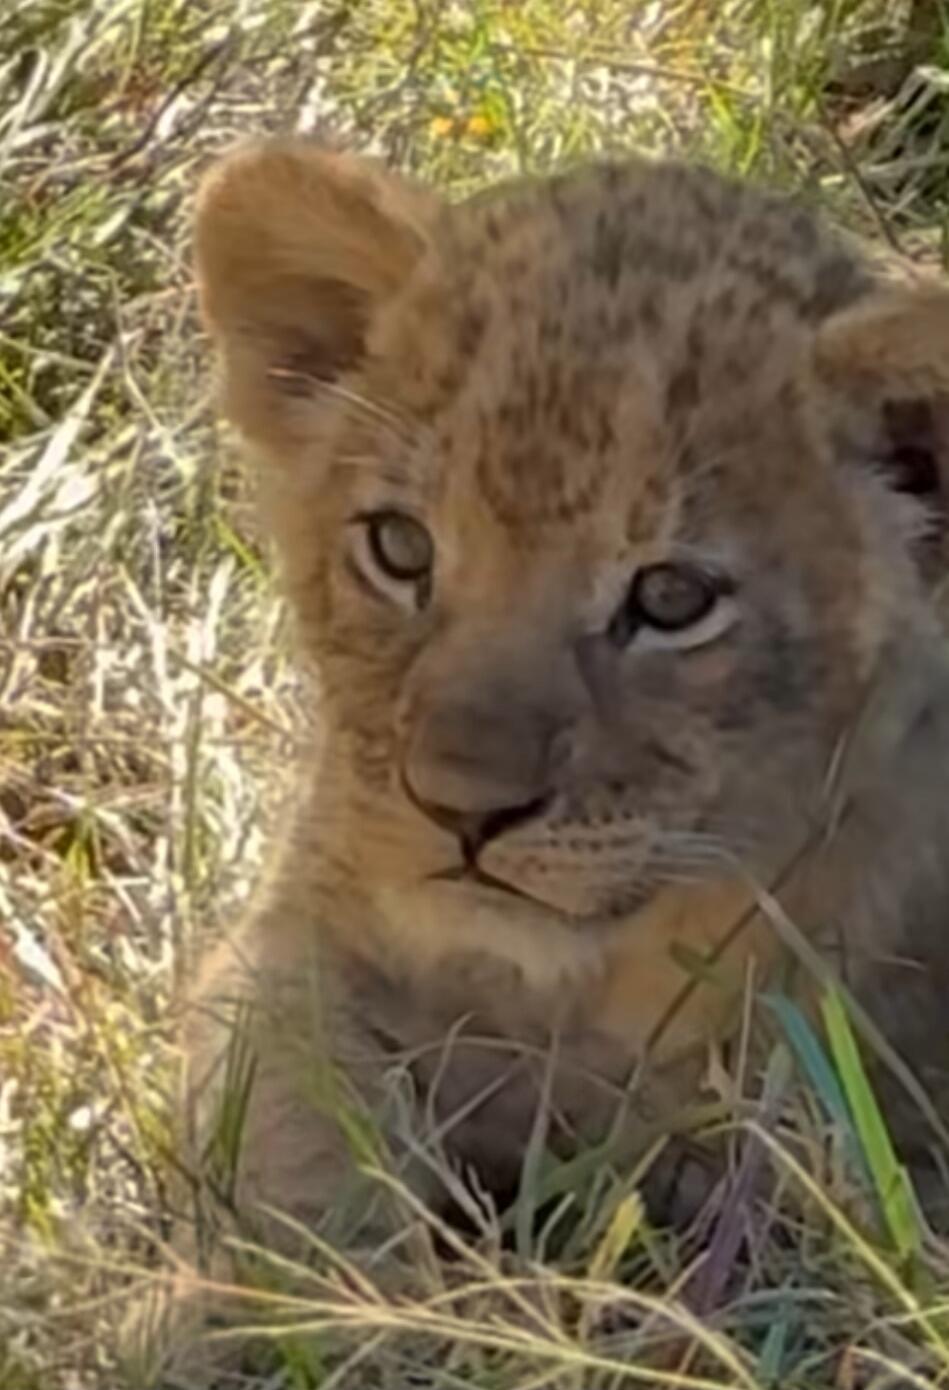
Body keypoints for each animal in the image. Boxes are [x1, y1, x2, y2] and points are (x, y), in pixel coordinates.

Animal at [129, 137, 949, 1377]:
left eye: (671, 599)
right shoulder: (293, 933)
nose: (458, 811)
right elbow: (295, 1122)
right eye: (399, 546)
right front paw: (285, 1319)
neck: (576, 984)